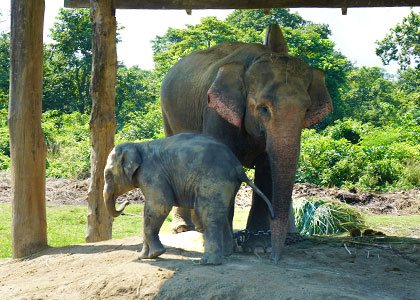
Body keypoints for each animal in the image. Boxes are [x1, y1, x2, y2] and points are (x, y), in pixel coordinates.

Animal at [103, 132, 270, 264]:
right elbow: (148, 211)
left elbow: (160, 206)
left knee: (207, 212)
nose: (127, 201)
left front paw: (155, 254)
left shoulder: (152, 174)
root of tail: (238, 167)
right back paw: (226, 254)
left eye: (108, 175)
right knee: (222, 213)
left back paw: (207, 262)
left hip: (214, 180)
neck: (139, 146)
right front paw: (144, 257)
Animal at [159, 24, 334, 262]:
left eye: (306, 109)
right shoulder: (216, 114)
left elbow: (267, 170)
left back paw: (201, 227)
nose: (275, 259)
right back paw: (183, 228)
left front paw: (259, 247)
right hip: (167, 114)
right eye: (263, 108)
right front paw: (225, 246)